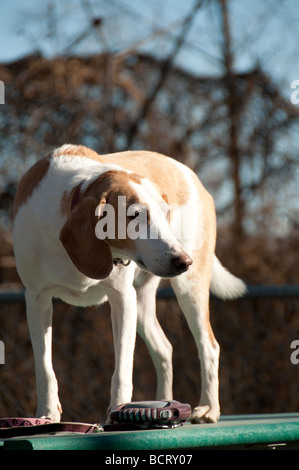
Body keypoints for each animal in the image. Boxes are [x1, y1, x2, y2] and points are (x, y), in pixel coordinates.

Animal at [12, 143, 246, 422]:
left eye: (166, 214)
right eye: (135, 215)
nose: (183, 260)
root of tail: (191, 175)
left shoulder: (122, 299)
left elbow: (122, 370)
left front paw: (117, 412)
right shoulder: (37, 299)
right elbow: (45, 368)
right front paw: (46, 415)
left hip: (189, 291)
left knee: (209, 347)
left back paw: (209, 408)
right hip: (142, 304)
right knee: (164, 349)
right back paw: (165, 404)